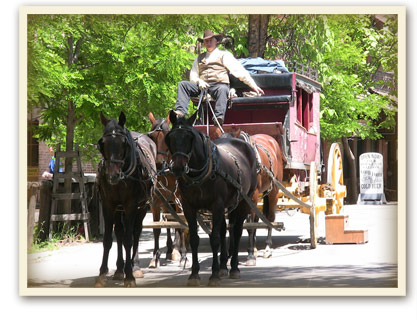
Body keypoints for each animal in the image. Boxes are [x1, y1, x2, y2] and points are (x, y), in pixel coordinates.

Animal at [95, 112, 157, 288]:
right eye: (102, 143)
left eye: (124, 143)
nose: (113, 176)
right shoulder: (108, 204)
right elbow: (109, 239)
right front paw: (103, 273)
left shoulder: (131, 205)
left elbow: (129, 239)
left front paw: (129, 275)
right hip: (119, 209)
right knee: (120, 233)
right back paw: (118, 270)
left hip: (142, 206)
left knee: (135, 232)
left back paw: (134, 267)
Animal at [145, 112, 186, 268]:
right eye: (151, 137)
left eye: (167, 136)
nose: (157, 163)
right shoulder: (155, 201)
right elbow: (157, 228)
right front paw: (154, 257)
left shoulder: (180, 200)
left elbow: (180, 225)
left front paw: (183, 256)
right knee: (169, 221)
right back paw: (170, 250)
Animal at [163, 111, 256, 286]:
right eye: (170, 137)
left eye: (190, 137)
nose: (178, 167)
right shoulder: (189, 207)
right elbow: (195, 239)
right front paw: (194, 274)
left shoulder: (217, 205)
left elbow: (214, 239)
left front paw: (213, 275)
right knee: (226, 230)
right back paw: (223, 266)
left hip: (244, 201)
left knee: (237, 231)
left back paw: (234, 268)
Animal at [219, 127, 284, 264]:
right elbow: (232, 225)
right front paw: (230, 253)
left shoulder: (251, 196)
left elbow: (250, 226)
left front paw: (249, 255)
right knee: (256, 219)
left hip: (274, 191)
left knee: (269, 218)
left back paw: (267, 248)